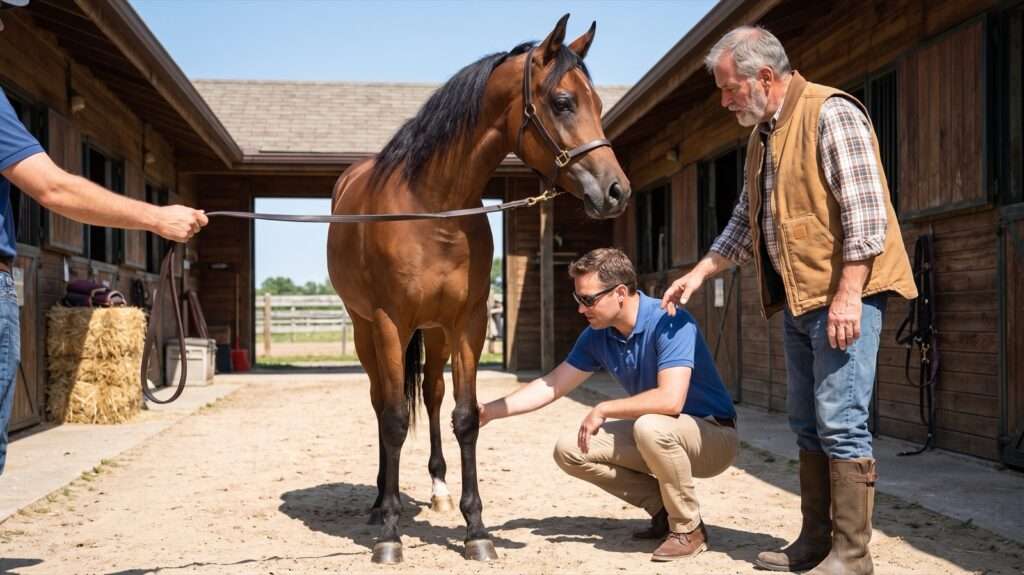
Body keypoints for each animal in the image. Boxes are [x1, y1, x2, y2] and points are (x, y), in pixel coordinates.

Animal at [326, 14, 630, 564]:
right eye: (563, 102)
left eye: (598, 104)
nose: (617, 191)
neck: (432, 208)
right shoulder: (388, 322)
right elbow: (394, 419)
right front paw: (390, 535)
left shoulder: (465, 322)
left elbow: (465, 417)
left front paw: (476, 530)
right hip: (365, 331)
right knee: (382, 402)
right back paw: (380, 502)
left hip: (433, 333)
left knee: (429, 393)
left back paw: (437, 491)